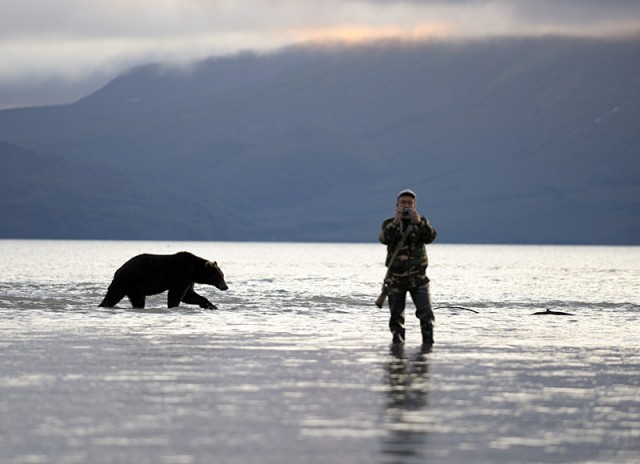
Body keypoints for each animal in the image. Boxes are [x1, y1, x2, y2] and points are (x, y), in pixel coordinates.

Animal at [99, 250, 229, 308]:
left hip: (135, 288)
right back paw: (103, 305)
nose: (225, 287)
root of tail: (118, 270)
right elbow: (176, 294)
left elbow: (189, 295)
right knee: (113, 295)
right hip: (127, 279)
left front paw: (210, 305)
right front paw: (173, 305)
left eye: (223, 275)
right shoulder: (182, 275)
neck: (195, 270)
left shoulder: (189, 280)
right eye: (219, 276)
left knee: (138, 300)